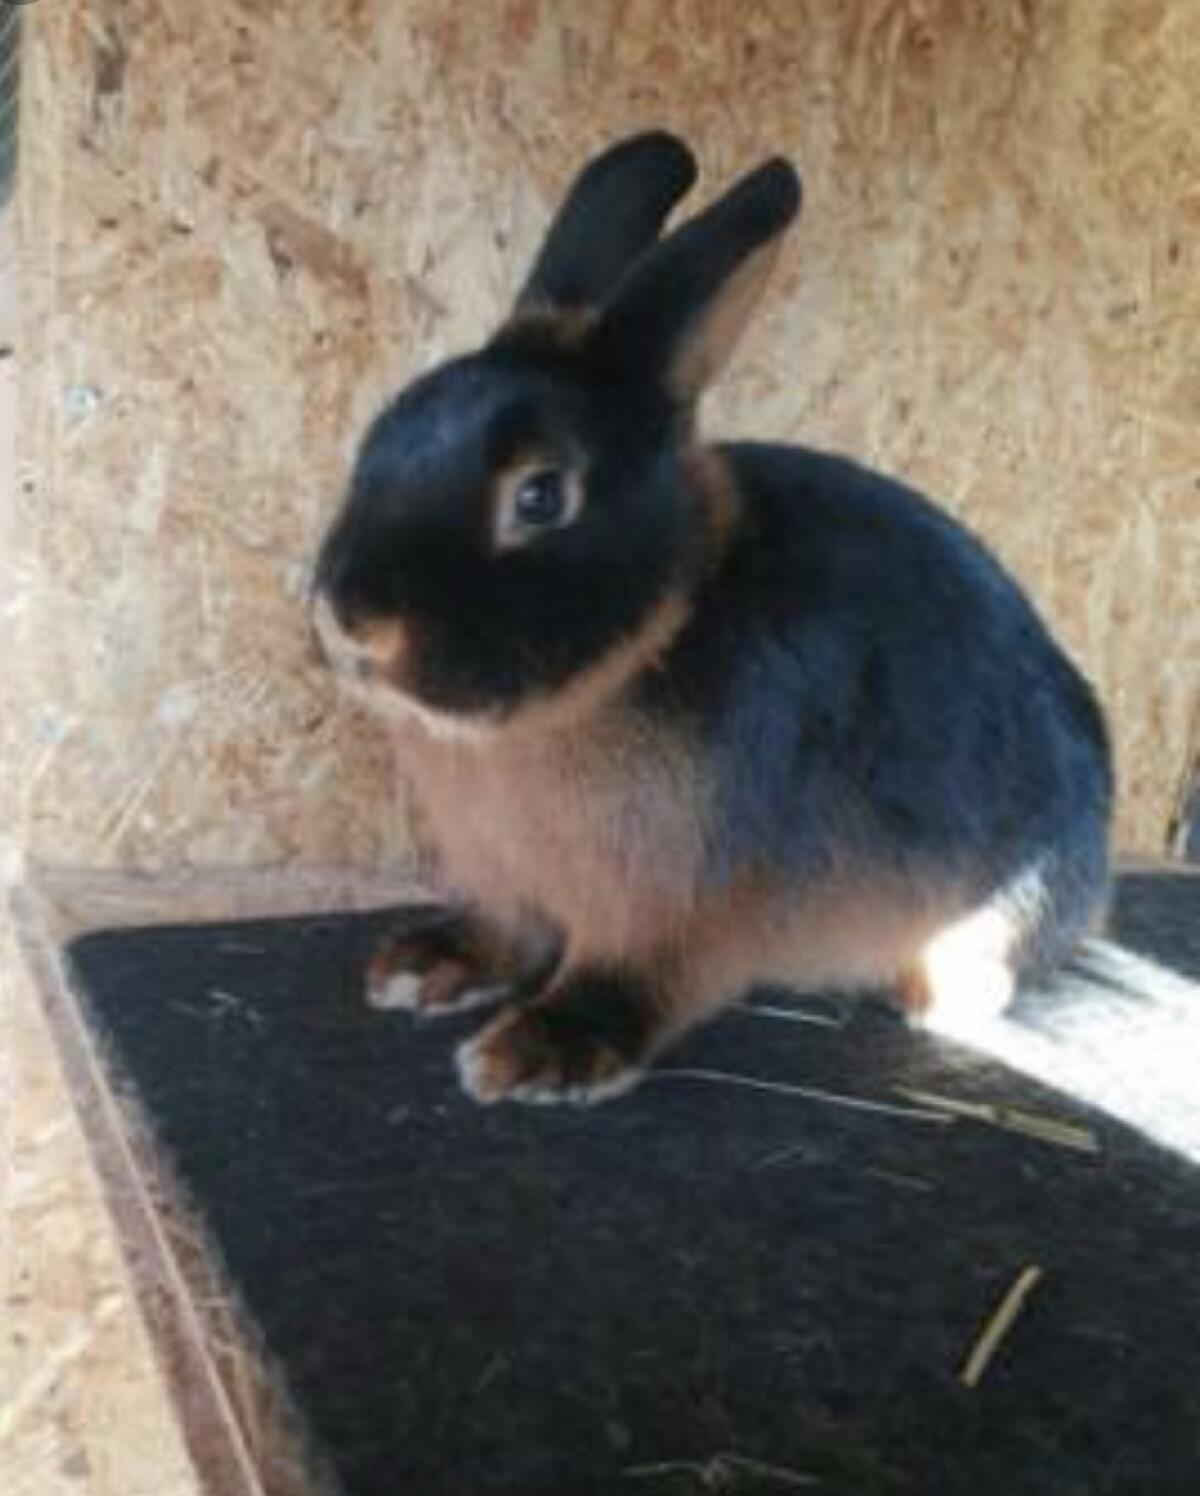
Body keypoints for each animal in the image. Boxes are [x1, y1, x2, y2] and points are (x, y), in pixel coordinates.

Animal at [312, 131, 1113, 1105]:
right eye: (384, 431)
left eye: (540, 497)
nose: (348, 620)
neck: (639, 650)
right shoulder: (510, 879)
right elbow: (509, 931)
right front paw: (426, 963)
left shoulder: (678, 903)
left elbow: (631, 976)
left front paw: (538, 1052)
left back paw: (930, 996)